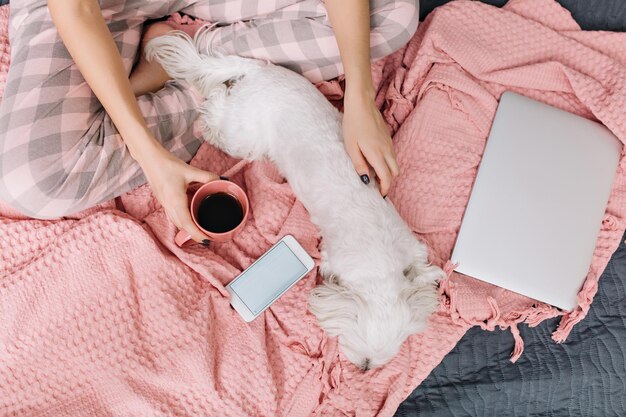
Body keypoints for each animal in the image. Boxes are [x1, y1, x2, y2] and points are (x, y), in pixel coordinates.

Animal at [145, 29, 444, 368]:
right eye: (365, 356)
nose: (364, 369)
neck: (382, 260)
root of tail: (259, 70)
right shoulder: (335, 258)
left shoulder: (411, 247)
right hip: (244, 134)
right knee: (219, 112)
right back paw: (211, 114)